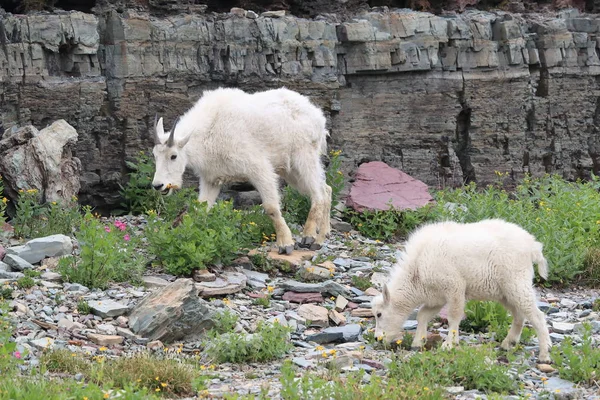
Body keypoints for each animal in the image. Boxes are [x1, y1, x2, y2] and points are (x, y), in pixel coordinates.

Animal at [150, 88, 332, 256]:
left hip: (304, 155)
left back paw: (308, 235)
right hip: (290, 170)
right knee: (327, 189)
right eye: (155, 155)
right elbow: (200, 209)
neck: (209, 130)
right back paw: (320, 239)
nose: (158, 185)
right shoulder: (211, 179)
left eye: (173, 156)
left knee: (318, 194)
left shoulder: (258, 168)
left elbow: (271, 208)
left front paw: (285, 244)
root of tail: (317, 115)